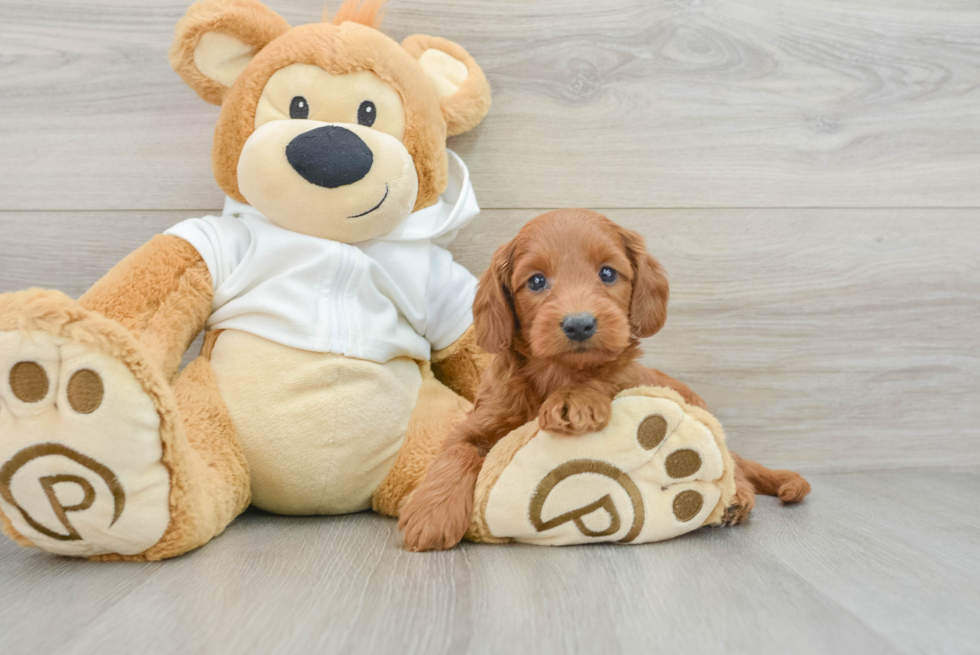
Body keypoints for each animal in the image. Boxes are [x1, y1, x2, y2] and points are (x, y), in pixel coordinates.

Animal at [398, 210, 812, 552]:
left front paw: (575, 399)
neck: (557, 373)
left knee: (732, 466)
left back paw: (736, 499)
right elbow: (456, 450)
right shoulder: (480, 420)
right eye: (536, 281)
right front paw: (430, 514)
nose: (579, 324)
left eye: (608, 273)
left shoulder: (623, 378)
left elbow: (606, 375)